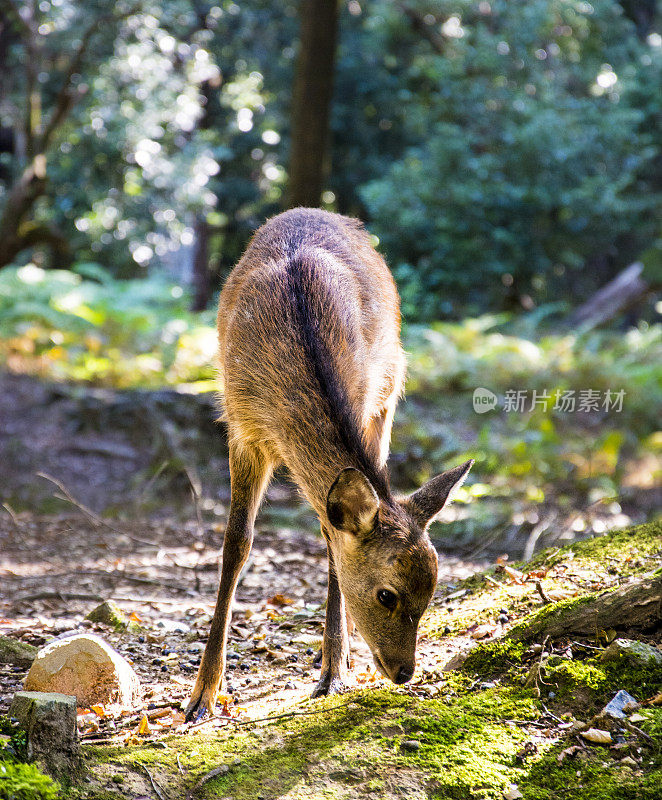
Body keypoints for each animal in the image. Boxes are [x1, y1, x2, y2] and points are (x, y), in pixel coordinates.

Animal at [185, 206, 472, 720]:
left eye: (432, 594)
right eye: (386, 594)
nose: (405, 672)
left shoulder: (367, 400)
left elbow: (332, 543)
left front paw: (333, 671)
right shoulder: (240, 425)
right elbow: (236, 543)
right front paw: (201, 696)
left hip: (389, 391)